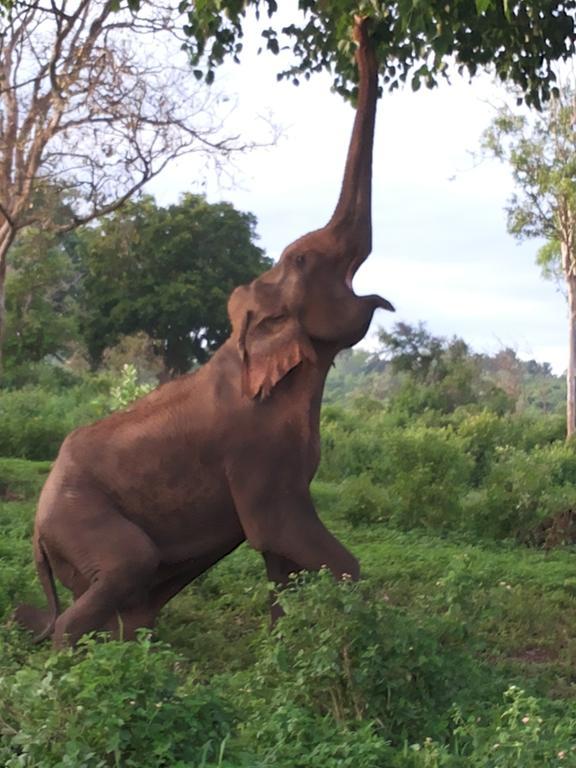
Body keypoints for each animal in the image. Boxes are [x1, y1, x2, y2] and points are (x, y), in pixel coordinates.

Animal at [13, 16, 394, 648]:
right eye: (305, 260)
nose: (366, 27)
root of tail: (36, 534)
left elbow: (278, 558)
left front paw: (284, 642)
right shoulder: (254, 447)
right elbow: (281, 533)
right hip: (81, 518)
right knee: (129, 565)